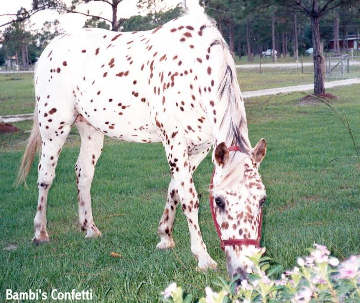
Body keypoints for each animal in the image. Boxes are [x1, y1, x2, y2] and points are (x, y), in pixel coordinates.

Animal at [18, 3, 268, 282]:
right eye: (220, 201)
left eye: (262, 200)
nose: (246, 268)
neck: (194, 69)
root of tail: (49, 49)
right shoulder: (174, 141)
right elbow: (189, 197)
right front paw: (203, 258)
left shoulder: (200, 148)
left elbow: (174, 189)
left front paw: (165, 236)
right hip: (54, 128)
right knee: (45, 176)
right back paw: (40, 233)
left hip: (91, 130)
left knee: (83, 173)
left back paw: (90, 228)